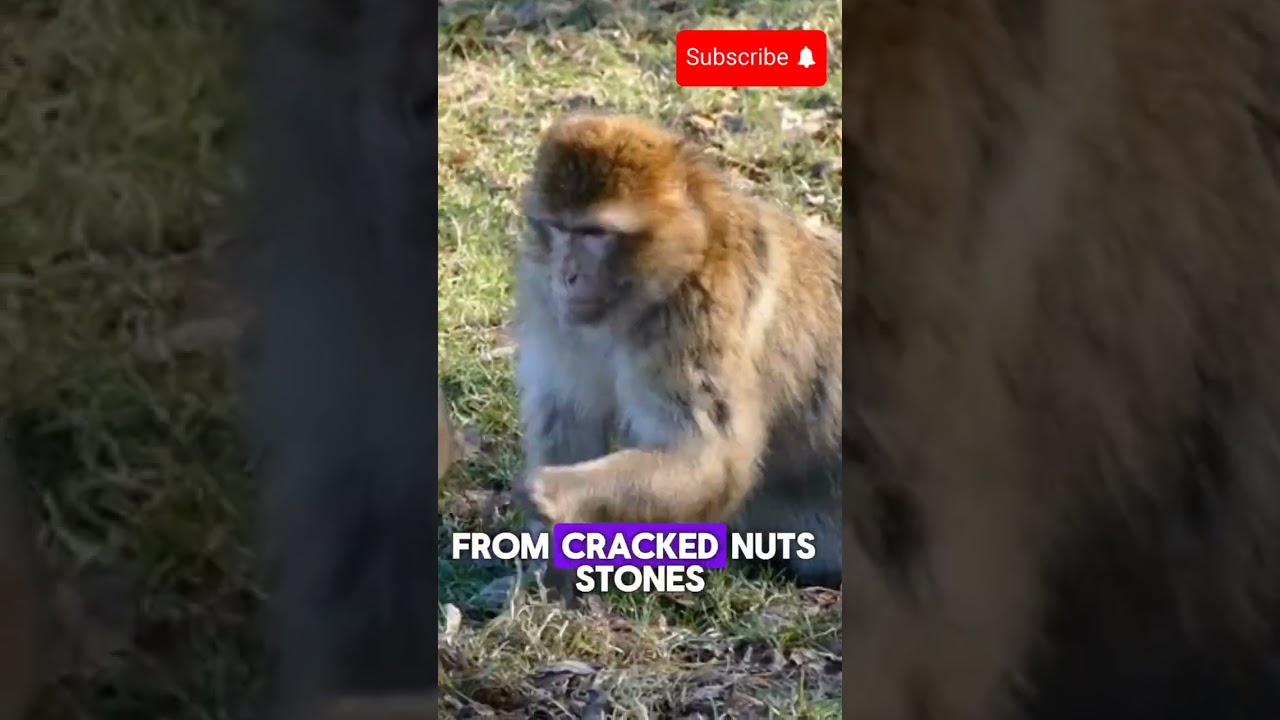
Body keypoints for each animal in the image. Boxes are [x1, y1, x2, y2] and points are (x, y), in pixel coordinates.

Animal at [513, 113, 843, 588]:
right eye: (558, 228)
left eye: (594, 232)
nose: (567, 274)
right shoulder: (553, 310)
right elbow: (571, 415)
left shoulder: (701, 317)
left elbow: (710, 458)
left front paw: (555, 495)